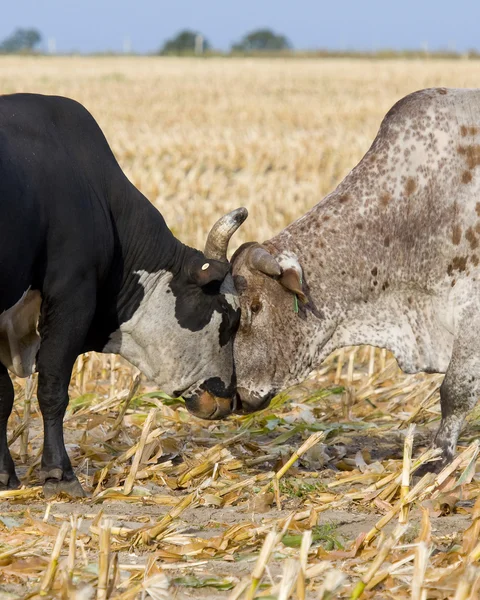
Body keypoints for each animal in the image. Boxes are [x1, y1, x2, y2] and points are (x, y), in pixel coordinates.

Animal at [0, 92, 248, 496]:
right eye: (229, 317)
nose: (229, 400)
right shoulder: (73, 295)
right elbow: (52, 387)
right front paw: (59, 473)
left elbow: (3, 395)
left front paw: (5, 474)